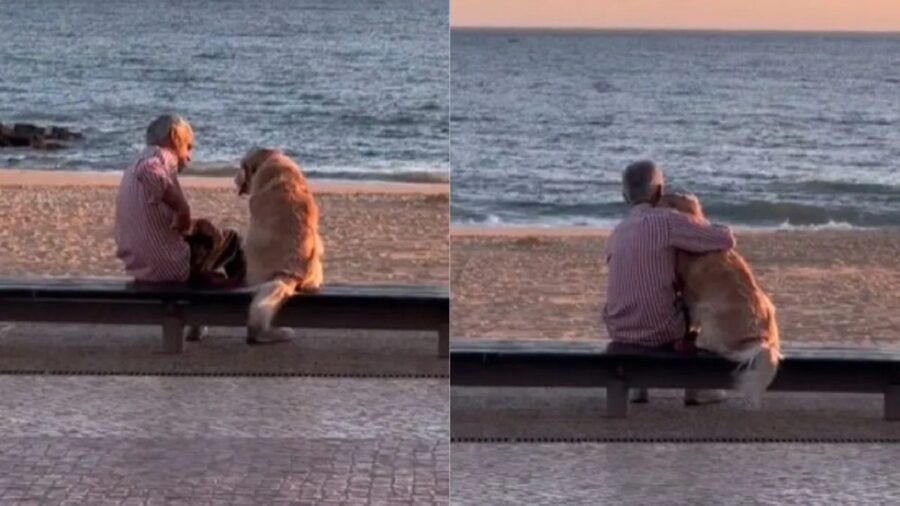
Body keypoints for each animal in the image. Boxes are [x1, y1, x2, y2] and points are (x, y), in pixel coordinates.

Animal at [652, 194, 780, 408]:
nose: (655, 199)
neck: (693, 217)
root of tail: (762, 340)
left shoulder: (690, 296)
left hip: (709, 312)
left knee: (710, 343)